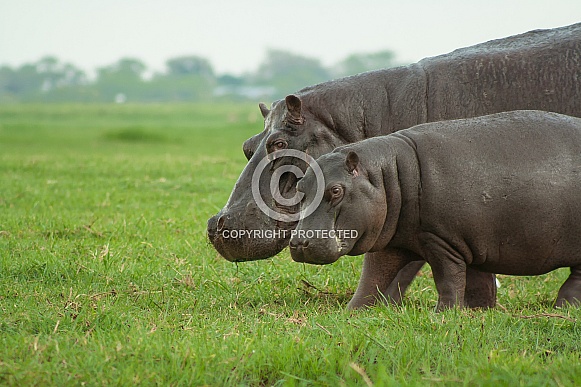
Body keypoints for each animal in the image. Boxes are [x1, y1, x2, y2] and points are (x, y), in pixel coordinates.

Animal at [292, 109, 580, 312]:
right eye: (300, 185)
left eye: (336, 190)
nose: (299, 243)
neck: (388, 176)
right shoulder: (390, 242)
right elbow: (372, 279)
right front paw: (352, 312)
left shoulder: (442, 241)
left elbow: (448, 279)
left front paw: (444, 314)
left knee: (576, 279)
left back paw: (563, 308)